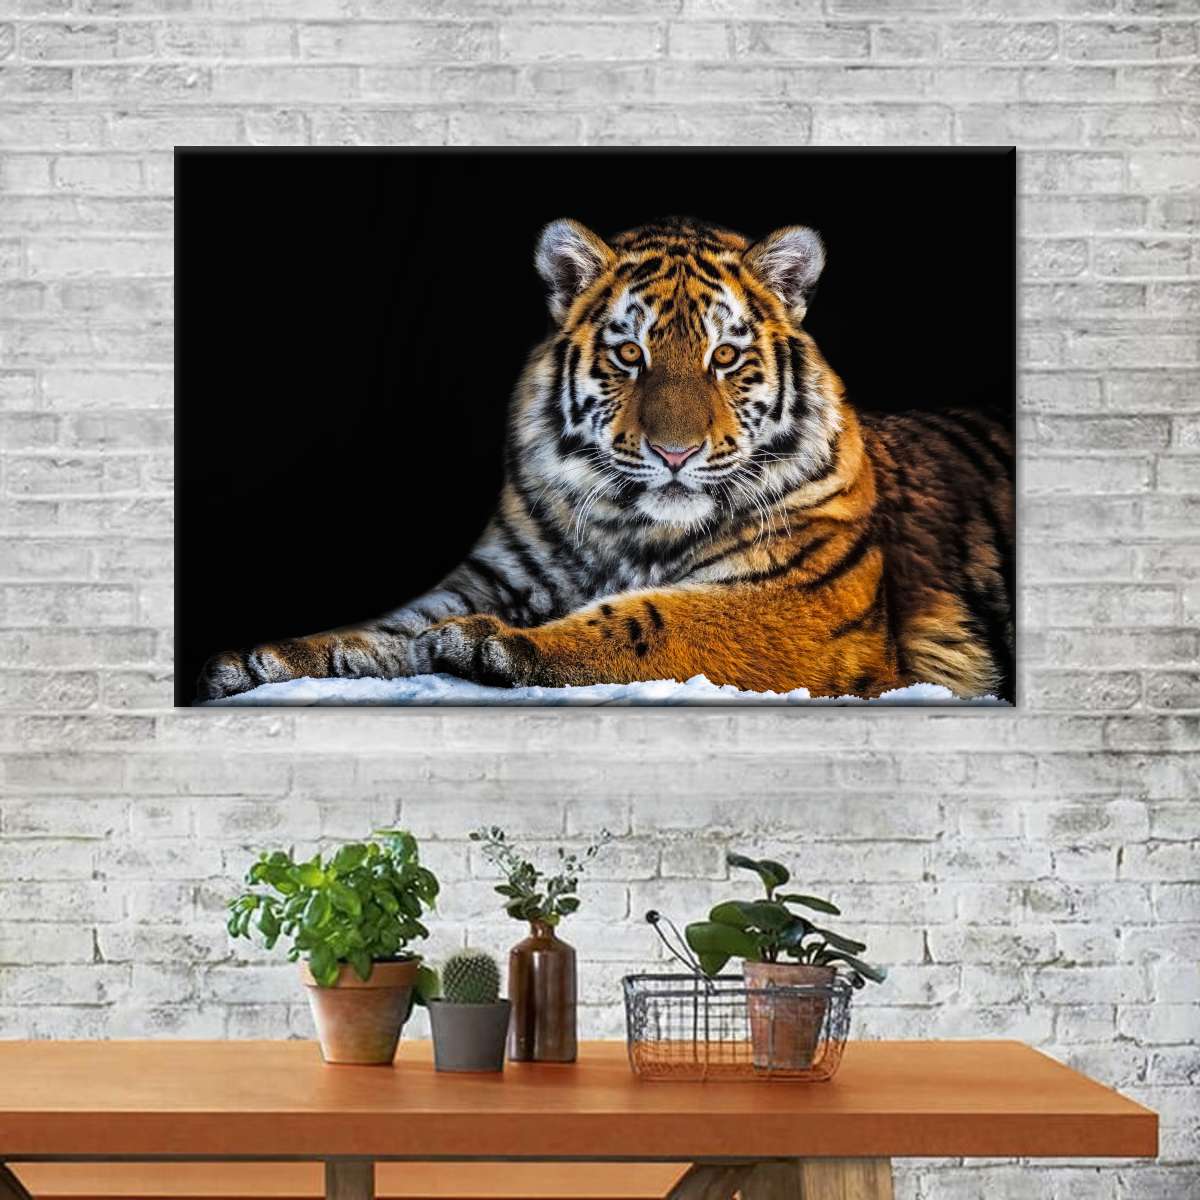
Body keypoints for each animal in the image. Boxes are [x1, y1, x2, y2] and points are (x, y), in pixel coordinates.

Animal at [198, 215, 1014, 704]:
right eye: (630, 355)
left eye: (724, 358)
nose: (675, 452)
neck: (630, 530)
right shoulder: (493, 576)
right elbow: (386, 629)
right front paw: (267, 659)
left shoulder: (798, 603)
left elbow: (653, 621)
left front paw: (491, 646)